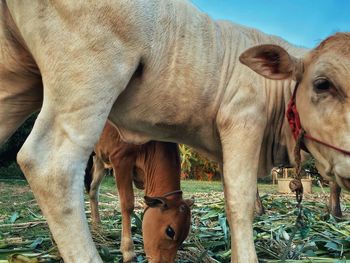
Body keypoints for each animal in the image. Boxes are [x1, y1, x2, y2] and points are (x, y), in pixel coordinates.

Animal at [85, 122, 194, 263]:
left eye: (185, 235)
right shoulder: (121, 159)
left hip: (99, 157)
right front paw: (128, 251)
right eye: (170, 231)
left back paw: (97, 226)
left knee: (93, 190)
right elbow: (127, 205)